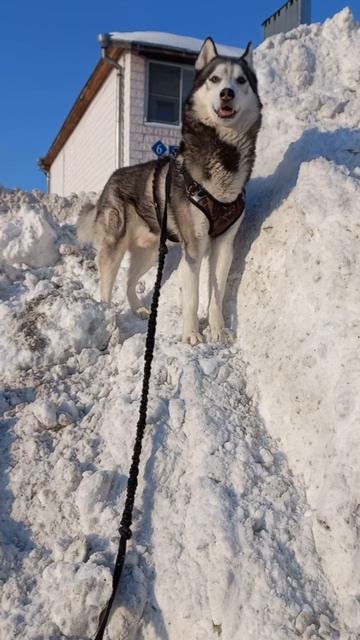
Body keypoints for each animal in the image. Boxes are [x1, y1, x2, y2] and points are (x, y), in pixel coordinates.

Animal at [78, 37, 262, 342]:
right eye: (214, 79)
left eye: (241, 80)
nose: (227, 93)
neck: (223, 154)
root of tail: (113, 176)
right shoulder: (193, 247)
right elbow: (193, 295)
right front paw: (192, 335)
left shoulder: (224, 244)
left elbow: (216, 293)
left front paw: (218, 331)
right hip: (116, 245)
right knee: (107, 285)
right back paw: (106, 321)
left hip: (152, 250)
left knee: (129, 280)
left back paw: (140, 310)